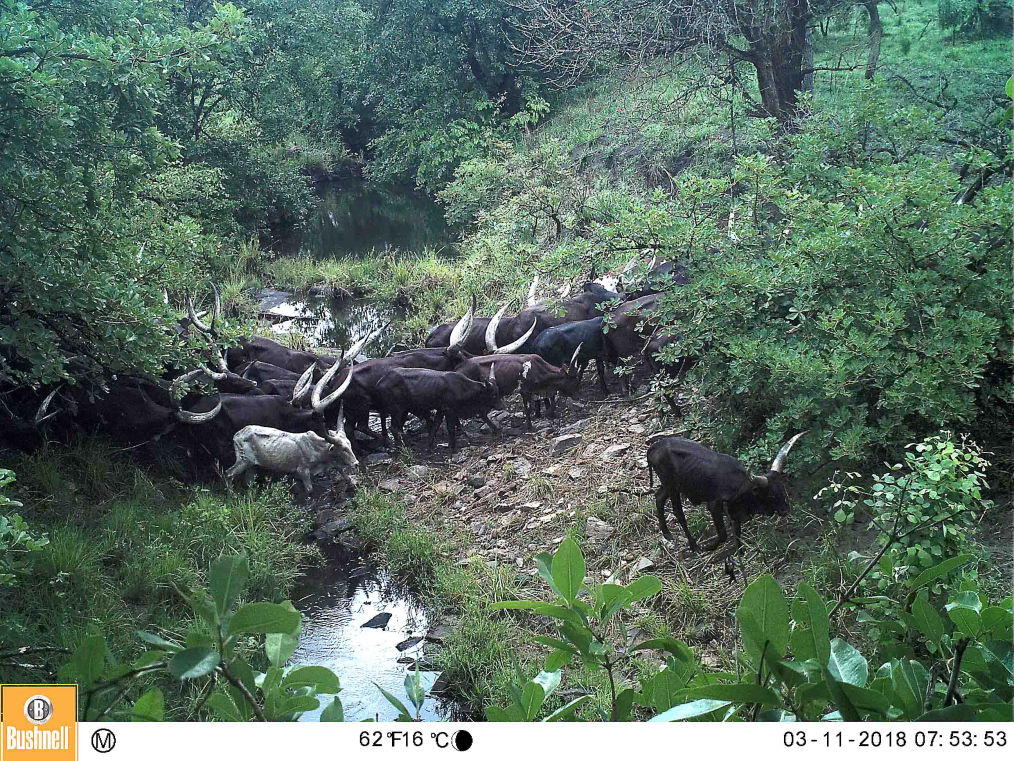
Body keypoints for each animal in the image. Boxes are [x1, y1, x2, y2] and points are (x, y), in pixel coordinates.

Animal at [226, 424, 360, 495]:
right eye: (343, 449)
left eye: (349, 445)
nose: (356, 463)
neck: (316, 448)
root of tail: (237, 434)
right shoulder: (302, 471)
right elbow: (310, 489)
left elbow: (342, 471)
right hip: (243, 461)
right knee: (228, 473)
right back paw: (232, 495)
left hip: (252, 465)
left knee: (248, 481)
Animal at [644, 434, 803, 556]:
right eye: (771, 495)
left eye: (782, 489)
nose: (785, 510)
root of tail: (654, 447)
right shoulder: (714, 505)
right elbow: (723, 534)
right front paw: (709, 547)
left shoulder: (734, 509)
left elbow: (737, 531)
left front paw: (741, 552)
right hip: (672, 487)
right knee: (678, 512)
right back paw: (694, 546)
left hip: (670, 486)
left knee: (659, 498)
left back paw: (666, 533)